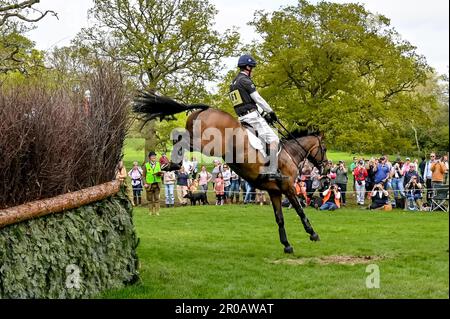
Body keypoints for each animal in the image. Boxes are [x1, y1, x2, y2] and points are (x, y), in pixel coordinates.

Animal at [133, 92, 326, 255]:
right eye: (324, 148)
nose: (323, 167)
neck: (289, 154)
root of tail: (206, 109)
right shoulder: (287, 187)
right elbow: (300, 210)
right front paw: (313, 234)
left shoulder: (274, 191)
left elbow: (280, 218)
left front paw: (286, 244)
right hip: (206, 144)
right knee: (181, 139)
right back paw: (172, 163)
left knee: (180, 138)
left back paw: (171, 164)